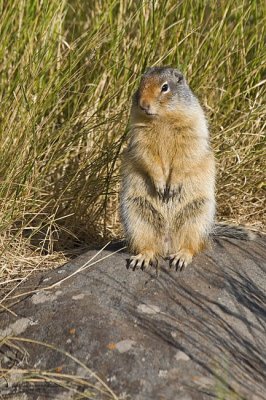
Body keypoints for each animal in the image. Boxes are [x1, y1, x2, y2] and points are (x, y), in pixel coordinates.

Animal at [119, 66, 255, 272]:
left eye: (165, 87)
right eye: (140, 83)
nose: (143, 104)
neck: (161, 119)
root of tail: (168, 244)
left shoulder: (192, 129)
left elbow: (185, 157)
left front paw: (172, 186)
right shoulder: (139, 138)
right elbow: (147, 157)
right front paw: (160, 185)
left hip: (197, 217)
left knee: (192, 246)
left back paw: (181, 257)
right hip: (136, 216)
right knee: (148, 246)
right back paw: (142, 258)